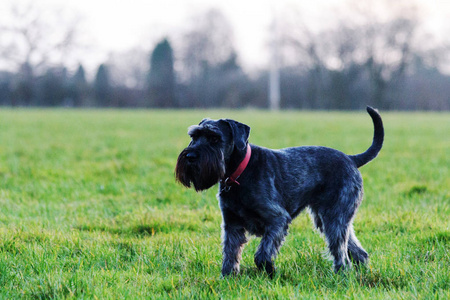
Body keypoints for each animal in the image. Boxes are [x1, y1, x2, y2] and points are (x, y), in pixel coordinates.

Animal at [175, 106, 384, 276]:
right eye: (193, 136)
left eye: (215, 138)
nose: (190, 156)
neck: (238, 174)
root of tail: (351, 159)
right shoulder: (232, 225)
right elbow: (230, 254)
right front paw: (227, 278)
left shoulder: (277, 220)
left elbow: (262, 253)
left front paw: (269, 271)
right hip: (329, 220)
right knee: (357, 251)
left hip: (335, 218)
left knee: (342, 254)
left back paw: (341, 275)